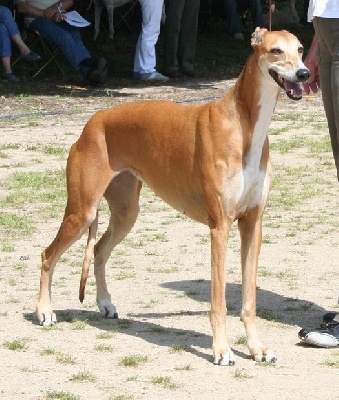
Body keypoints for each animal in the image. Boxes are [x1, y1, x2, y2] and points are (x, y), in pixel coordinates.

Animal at [37, 28, 310, 366]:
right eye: (275, 51)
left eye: (300, 49)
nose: (304, 73)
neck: (245, 126)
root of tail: (94, 121)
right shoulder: (220, 226)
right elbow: (219, 301)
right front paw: (222, 350)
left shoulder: (252, 223)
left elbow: (249, 299)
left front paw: (257, 348)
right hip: (82, 210)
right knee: (47, 255)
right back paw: (44, 312)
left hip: (126, 213)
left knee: (99, 250)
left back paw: (105, 303)